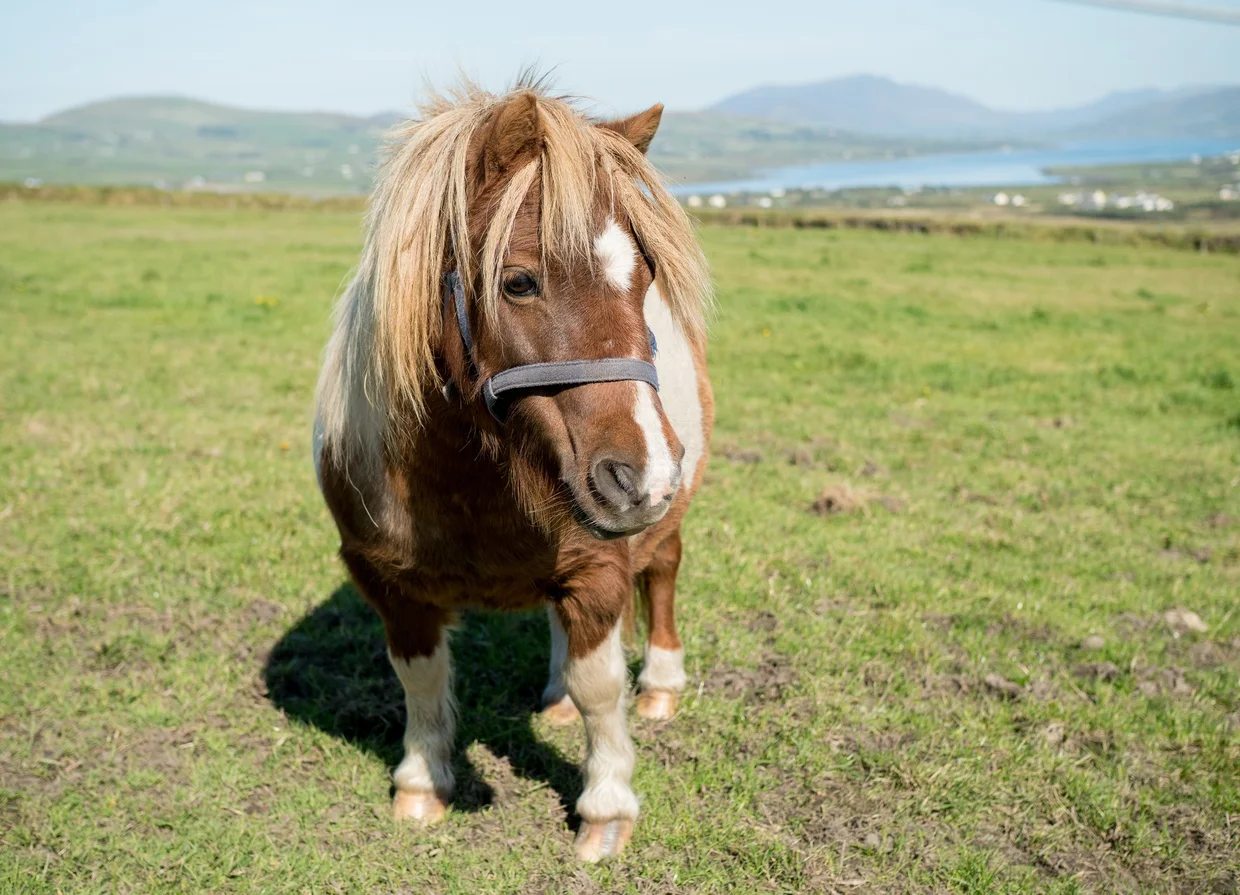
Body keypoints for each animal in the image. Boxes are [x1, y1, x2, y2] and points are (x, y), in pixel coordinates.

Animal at [312, 77, 714, 862]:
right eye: (519, 282)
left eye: (645, 275)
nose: (642, 476)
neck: (468, 478)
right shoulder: (388, 582)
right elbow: (421, 675)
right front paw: (422, 784)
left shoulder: (600, 568)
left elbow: (601, 686)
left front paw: (605, 809)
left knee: (663, 574)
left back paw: (660, 684)